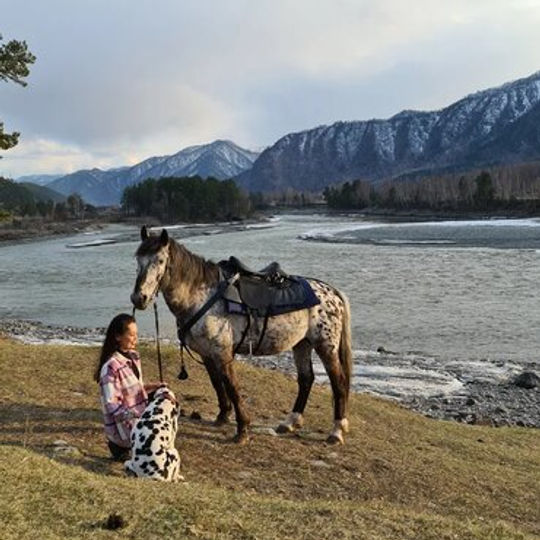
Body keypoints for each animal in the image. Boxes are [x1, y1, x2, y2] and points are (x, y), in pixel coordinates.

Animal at [131, 226, 354, 446]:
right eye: (137, 260)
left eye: (160, 260)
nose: (138, 298)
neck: (201, 296)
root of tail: (332, 292)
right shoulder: (207, 354)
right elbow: (217, 384)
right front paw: (222, 416)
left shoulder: (222, 353)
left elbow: (232, 387)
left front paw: (242, 429)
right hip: (302, 344)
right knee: (306, 379)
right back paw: (290, 422)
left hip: (325, 345)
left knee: (338, 383)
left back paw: (336, 431)